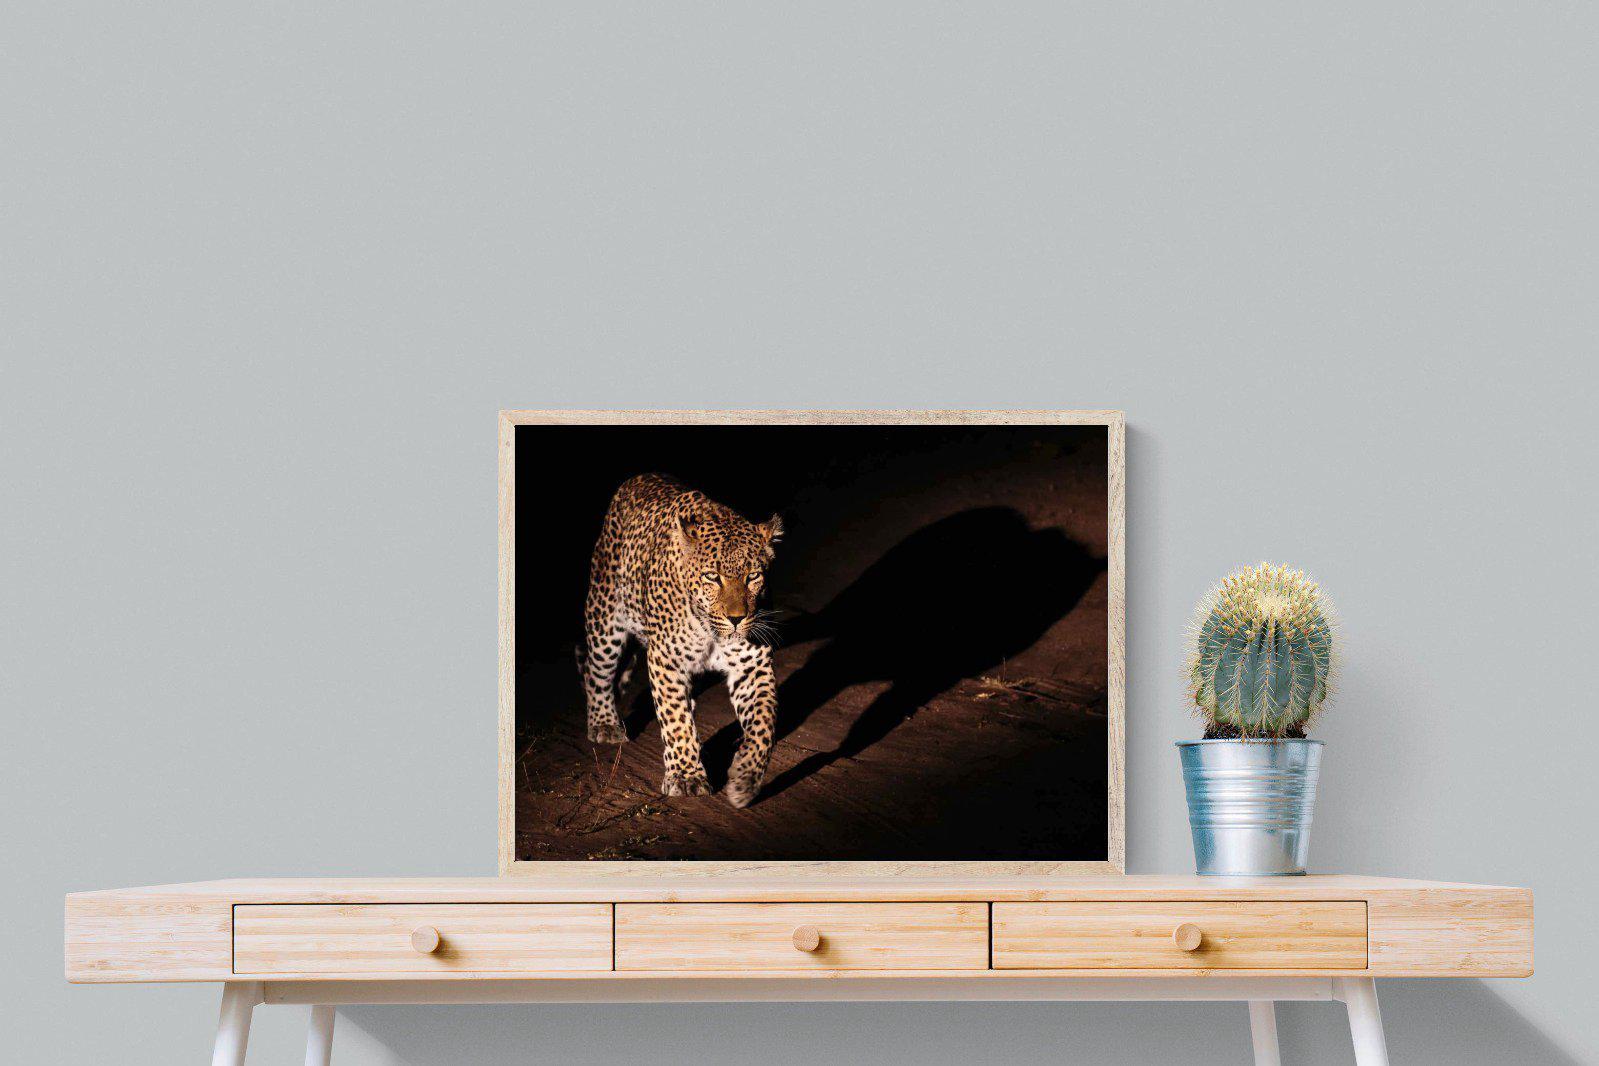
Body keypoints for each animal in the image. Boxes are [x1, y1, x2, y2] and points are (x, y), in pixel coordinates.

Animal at [580, 473, 783, 808]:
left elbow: (763, 723)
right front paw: (686, 777)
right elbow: (675, 720)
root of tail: (639, 477)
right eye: (713, 576)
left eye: (753, 576)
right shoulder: (666, 660)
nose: (737, 618)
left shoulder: (752, 665)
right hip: (605, 618)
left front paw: (745, 778)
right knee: (595, 672)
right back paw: (604, 724)